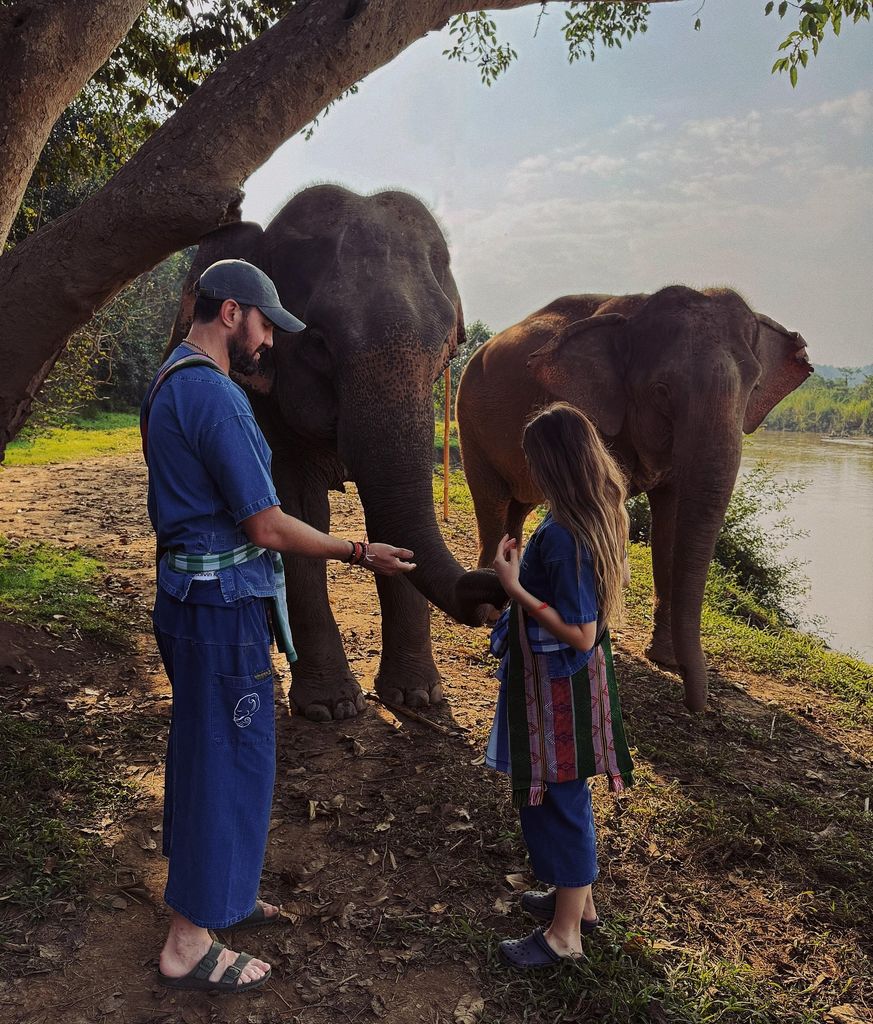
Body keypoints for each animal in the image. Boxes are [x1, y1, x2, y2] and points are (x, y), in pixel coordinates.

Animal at [168, 188, 503, 724]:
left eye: (445, 351)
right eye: (319, 344)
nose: (495, 592)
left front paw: (418, 698)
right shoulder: (260, 406)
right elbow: (296, 513)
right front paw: (332, 707)